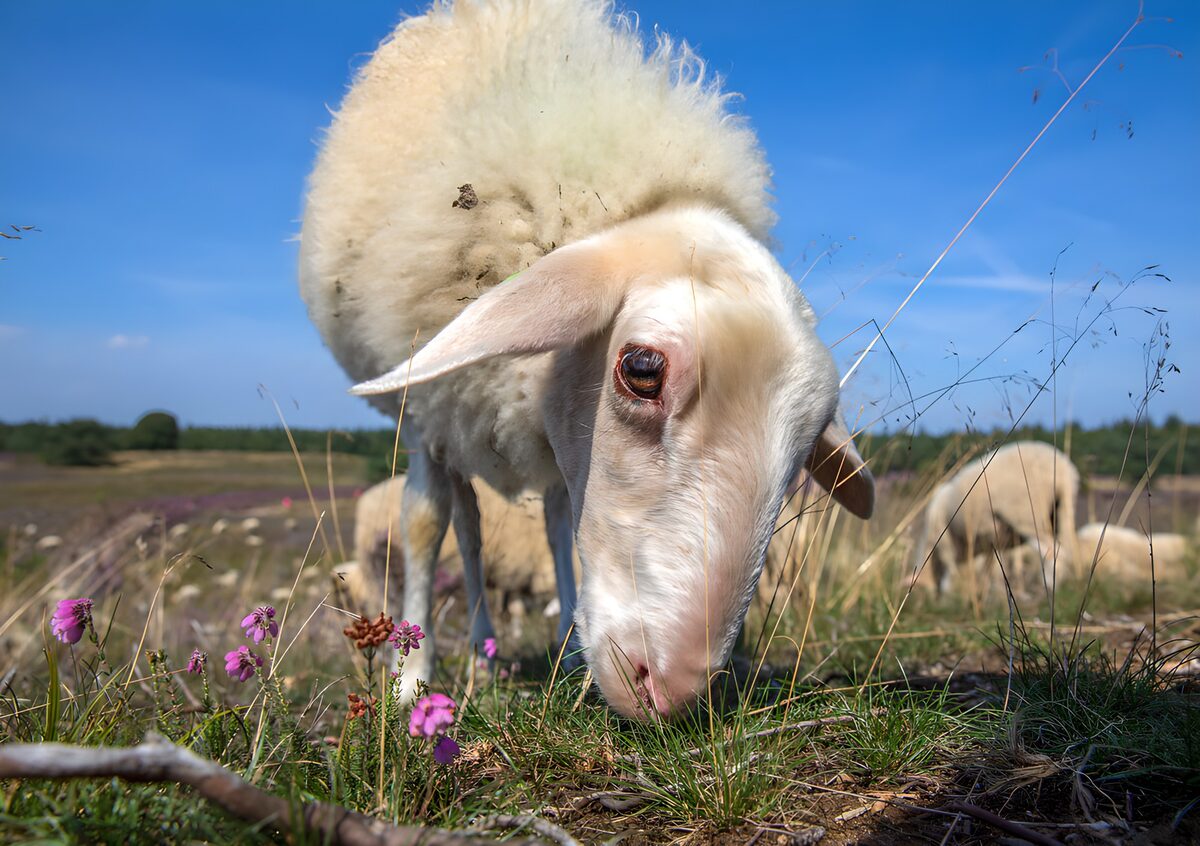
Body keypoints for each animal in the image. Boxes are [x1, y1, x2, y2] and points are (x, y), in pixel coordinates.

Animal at [299, 0, 874, 718]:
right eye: (643, 371)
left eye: (805, 448)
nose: (671, 689)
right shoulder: (429, 418)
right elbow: (426, 525)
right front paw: (411, 682)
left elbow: (556, 526)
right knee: (467, 527)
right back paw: (480, 650)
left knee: (545, 520)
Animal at [916, 441, 1079, 597]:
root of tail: (1063, 472)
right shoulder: (991, 543)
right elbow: (988, 569)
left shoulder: (945, 541)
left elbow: (950, 573)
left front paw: (947, 596)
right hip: (1062, 511)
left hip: (1028, 516)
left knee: (1052, 551)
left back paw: (1048, 587)